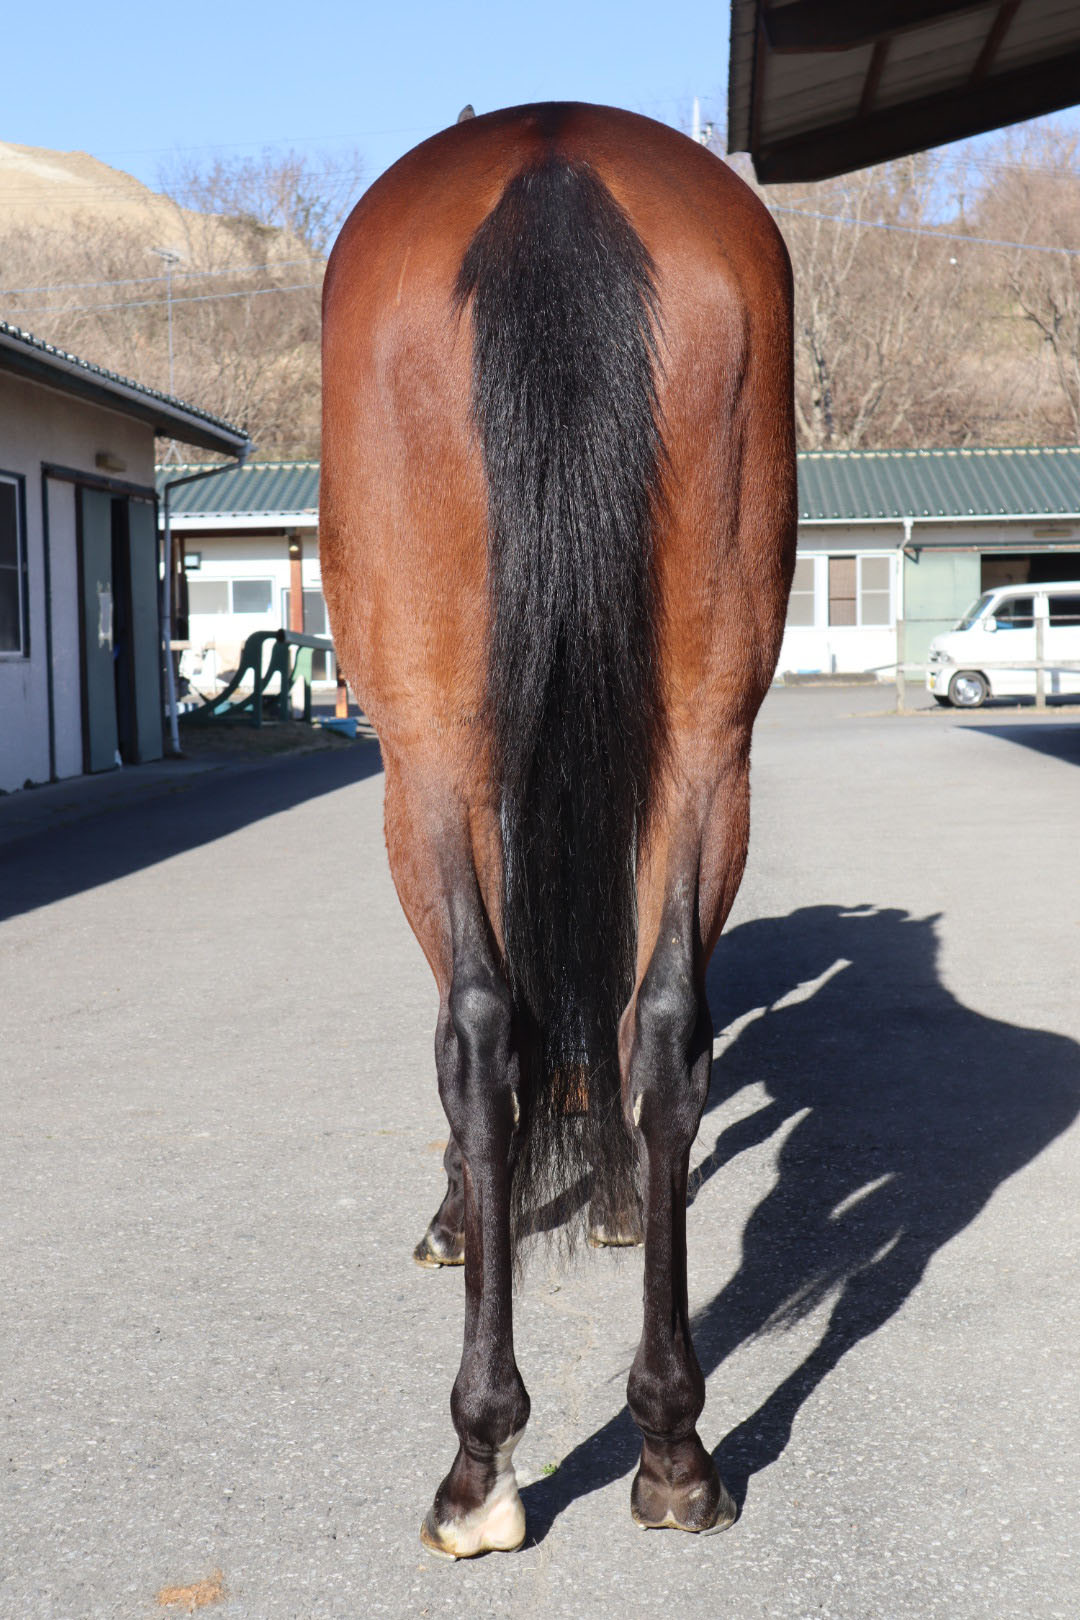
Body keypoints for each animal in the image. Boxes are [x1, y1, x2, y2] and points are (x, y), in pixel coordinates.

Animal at [320, 101, 795, 1557]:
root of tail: (552, 156)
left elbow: (486, 1034)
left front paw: (458, 1219)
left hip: (424, 759)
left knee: (479, 1035)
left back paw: (482, 1460)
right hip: (708, 743)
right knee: (662, 1028)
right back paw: (675, 1443)